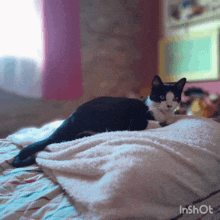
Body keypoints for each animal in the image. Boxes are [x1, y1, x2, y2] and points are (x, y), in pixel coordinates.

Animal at [12, 75, 186, 167]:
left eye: (175, 98)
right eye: (162, 97)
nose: (169, 105)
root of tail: (71, 117)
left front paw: (173, 116)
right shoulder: (136, 121)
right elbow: (154, 123)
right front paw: (164, 122)